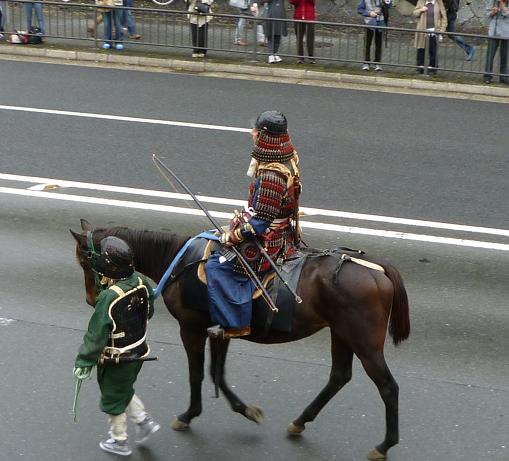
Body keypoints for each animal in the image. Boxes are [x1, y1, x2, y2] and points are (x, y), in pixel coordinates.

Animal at [70, 217, 408, 458]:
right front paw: (246, 410)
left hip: (364, 342)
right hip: (341, 333)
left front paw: (189, 415)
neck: (179, 262)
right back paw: (300, 421)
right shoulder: (223, 330)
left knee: (388, 387)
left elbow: (198, 373)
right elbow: (217, 373)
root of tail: (377, 266)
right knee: (339, 376)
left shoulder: (191, 328)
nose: (90, 299)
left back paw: (384, 445)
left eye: (85, 260)